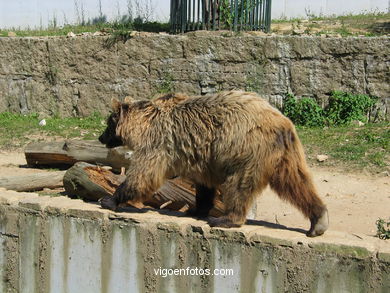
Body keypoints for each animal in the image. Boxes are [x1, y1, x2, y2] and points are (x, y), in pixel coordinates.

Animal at [98, 90, 330, 236]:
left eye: (108, 123)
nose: (101, 137)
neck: (143, 125)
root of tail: (281, 121)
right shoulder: (201, 157)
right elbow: (204, 186)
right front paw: (196, 208)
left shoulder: (159, 142)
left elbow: (144, 174)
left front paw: (110, 199)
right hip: (286, 155)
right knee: (297, 183)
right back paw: (318, 221)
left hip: (247, 150)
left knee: (239, 185)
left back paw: (226, 219)